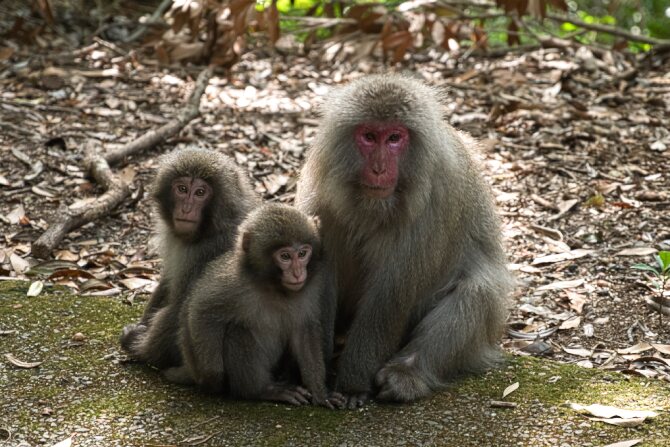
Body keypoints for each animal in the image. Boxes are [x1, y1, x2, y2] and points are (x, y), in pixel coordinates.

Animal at [165, 204, 344, 410]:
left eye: (302, 254)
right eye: (285, 256)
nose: (298, 273)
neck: (274, 287)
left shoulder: (310, 288)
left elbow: (304, 333)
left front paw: (320, 391)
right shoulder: (233, 283)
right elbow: (201, 312)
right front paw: (212, 377)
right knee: (237, 331)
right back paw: (261, 390)